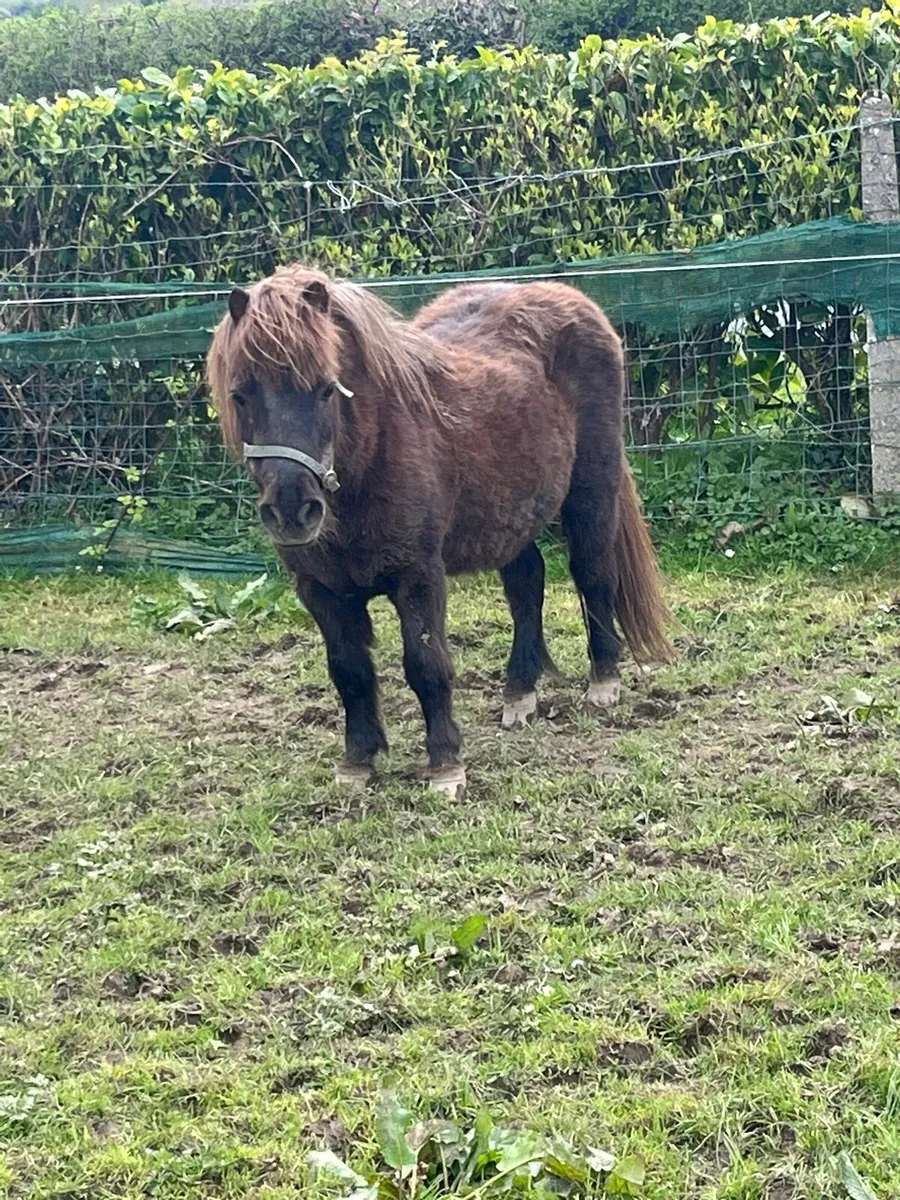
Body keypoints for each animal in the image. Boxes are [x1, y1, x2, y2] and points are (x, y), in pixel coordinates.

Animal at [207, 266, 673, 797]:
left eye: (326, 389)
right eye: (241, 394)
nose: (291, 510)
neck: (372, 453)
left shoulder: (419, 577)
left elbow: (427, 666)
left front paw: (445, 765)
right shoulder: (320, 590)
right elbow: (349, 672)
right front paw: (357, 762)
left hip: (591, 491)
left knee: (592, 574)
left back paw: (603, 683)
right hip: (510, 514)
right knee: (527, 585)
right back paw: (519, 693)